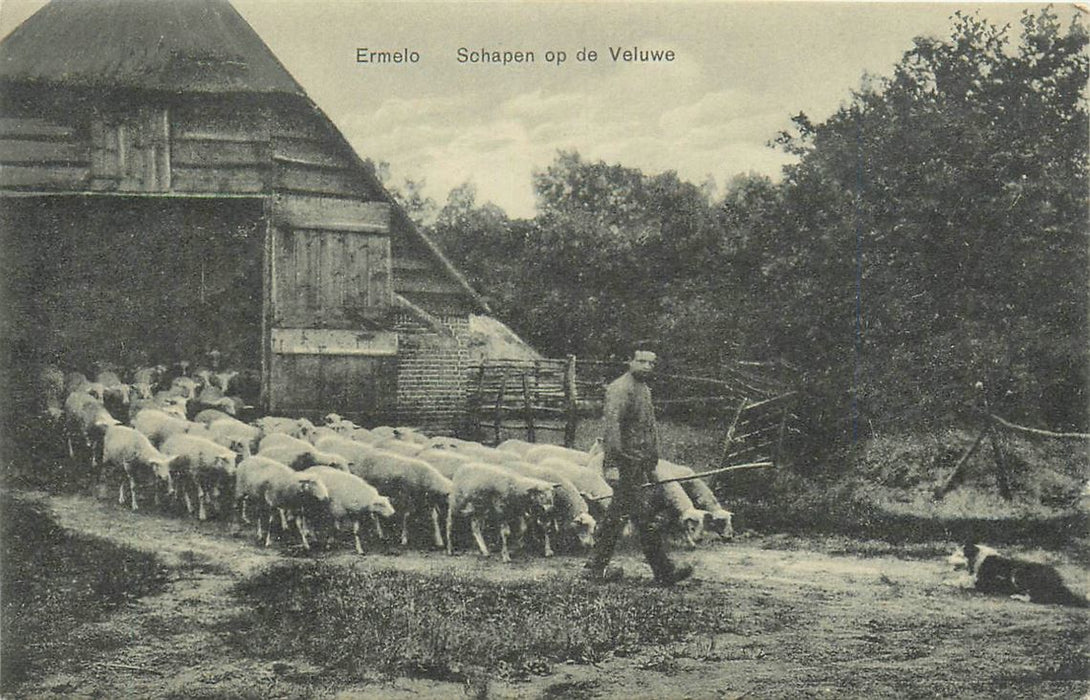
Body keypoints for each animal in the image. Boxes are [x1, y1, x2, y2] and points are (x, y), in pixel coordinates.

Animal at [946, 540, 1090, 606]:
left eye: (959, 555)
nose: (946, 559)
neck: (977, 558)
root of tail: (1059, 583)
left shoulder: (980, 583)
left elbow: (962, 581)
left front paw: (948, 581)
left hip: (1018, 573)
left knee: (1035, 598)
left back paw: (1017, 596)